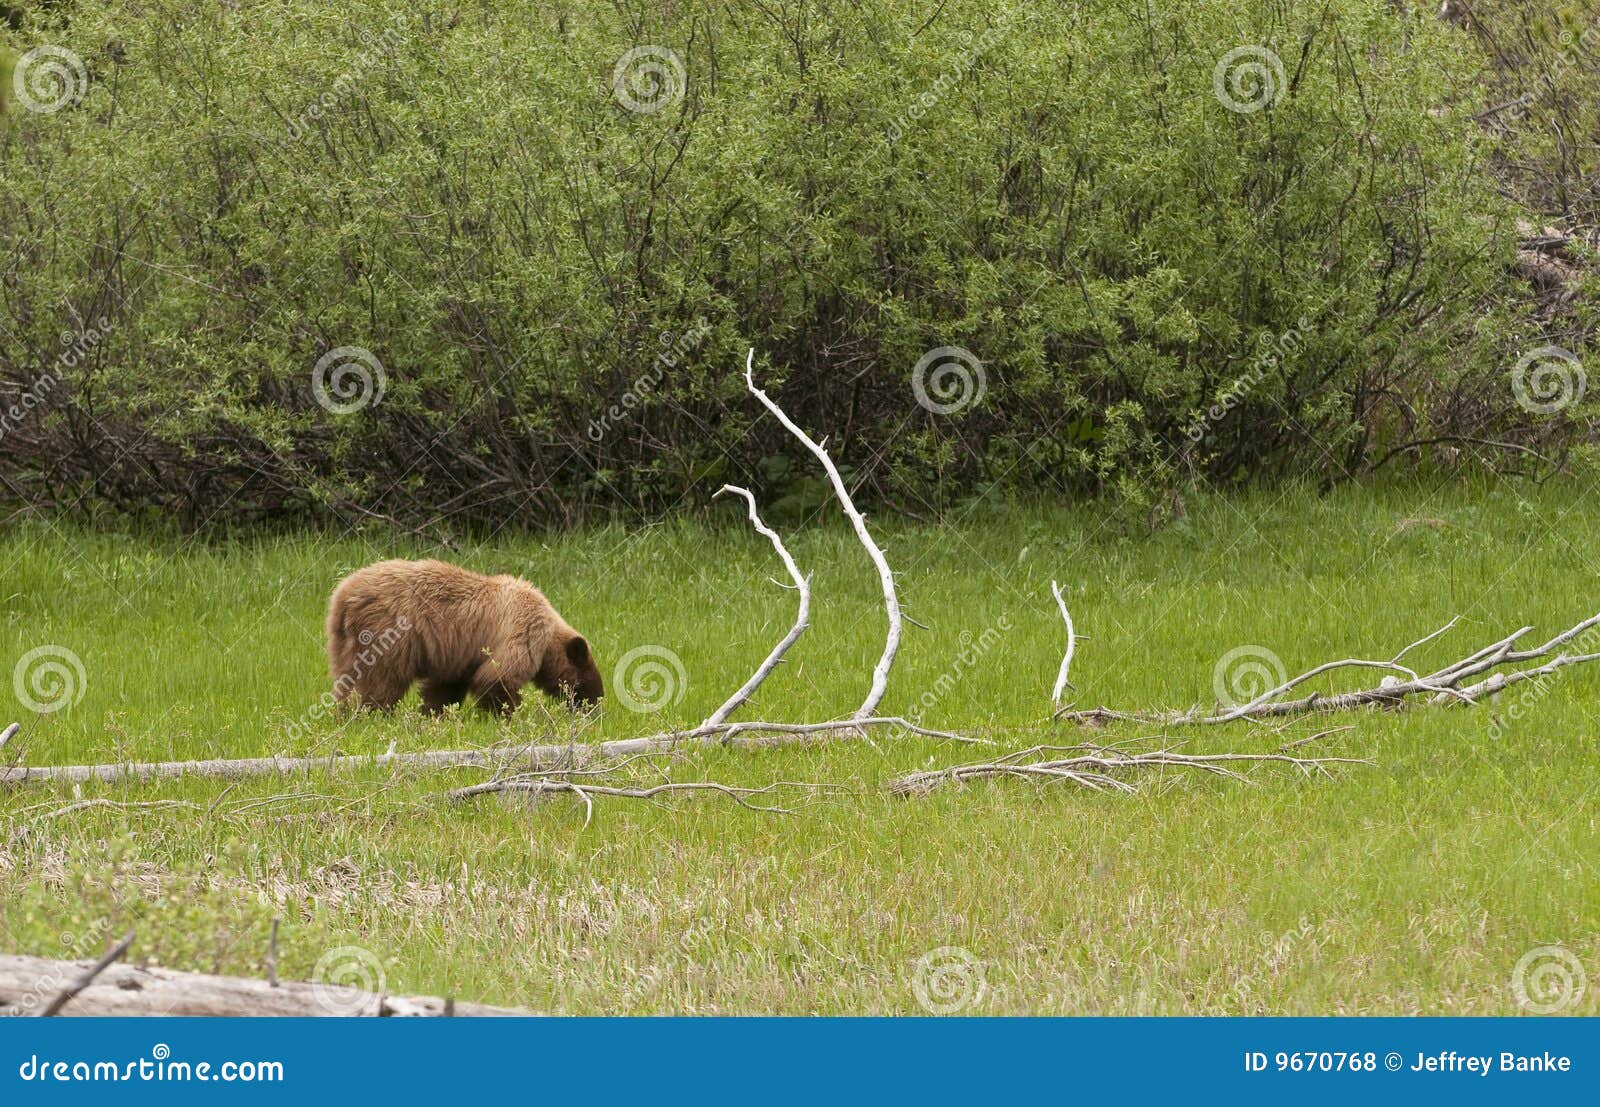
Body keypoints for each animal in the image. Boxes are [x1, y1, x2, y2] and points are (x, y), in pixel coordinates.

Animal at [324, 559, 603, 715]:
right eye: (586, 683)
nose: (595, 709)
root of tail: (344, 595)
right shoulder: (522, 629)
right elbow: (497, 677)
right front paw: (507, 714)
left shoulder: (457, 654)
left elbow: (445, 687)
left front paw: (435, 713)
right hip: (387, 633)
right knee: (383, 679)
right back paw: (373, 713)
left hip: (342, 641)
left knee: (346, 679)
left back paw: (343, 712)